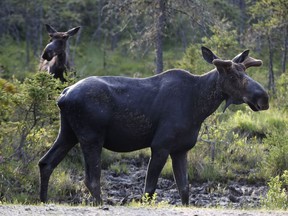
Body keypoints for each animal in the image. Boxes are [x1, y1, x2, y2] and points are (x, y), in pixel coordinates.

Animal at [38, 46, 270, 205]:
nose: (264, 98)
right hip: (91, 137)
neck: (199, 106)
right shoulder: (160, 145)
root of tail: (63, 97)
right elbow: (149, 189)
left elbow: (184, 189)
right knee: (91, 180)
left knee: (46, 163)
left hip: (68, 134)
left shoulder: (180, 149)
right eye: (233, 75)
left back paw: (42, 200)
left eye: (245, 72)